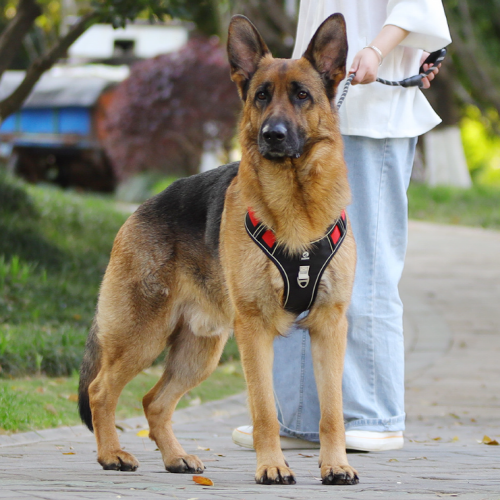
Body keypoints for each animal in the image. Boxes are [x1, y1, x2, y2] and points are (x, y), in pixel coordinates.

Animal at [78, 13, 360, 486]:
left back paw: (175, 458)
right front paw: (271, 466)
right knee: (101, 389)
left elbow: (332, 412)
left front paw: (336, 464)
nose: (272, 135)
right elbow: (264, 410)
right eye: (261, 95)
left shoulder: (328, 327)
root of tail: (139, 209)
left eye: (302, 95)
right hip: (143, 335)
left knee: (154, 401)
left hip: (200, 352)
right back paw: (111, 454)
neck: (297, 205)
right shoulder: (255, 331)